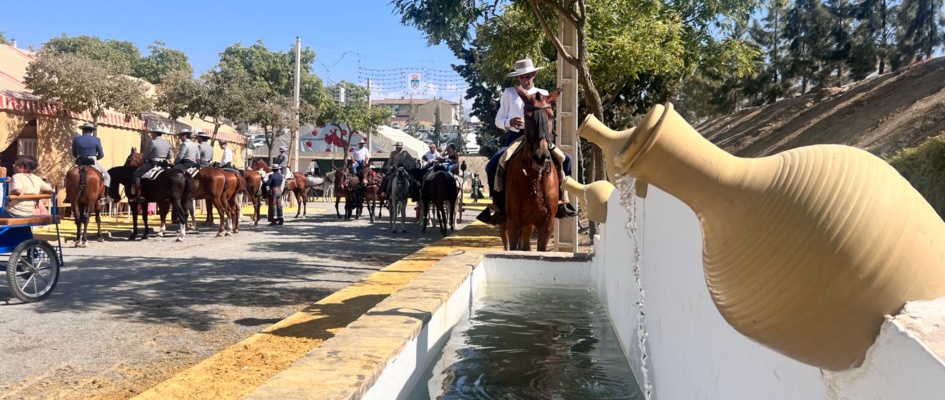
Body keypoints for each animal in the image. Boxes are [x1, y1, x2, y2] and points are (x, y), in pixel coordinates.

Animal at [501, 87, 562, 251]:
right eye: (527, 117)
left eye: (551, 116)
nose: (541, 157)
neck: (535, 177)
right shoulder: (513, 223)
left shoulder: (546, 225)